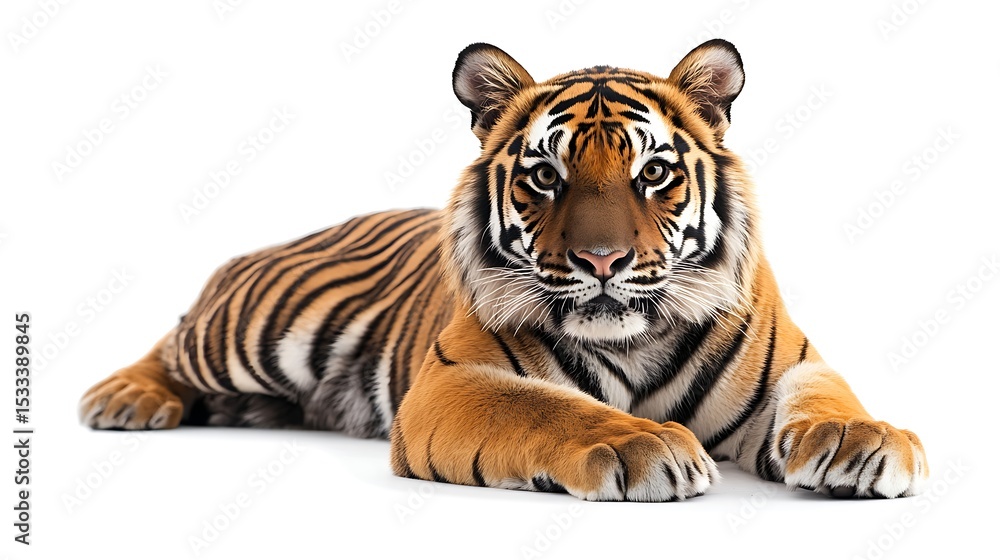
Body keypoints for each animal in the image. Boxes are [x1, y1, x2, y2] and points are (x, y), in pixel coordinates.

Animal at [79, 39, 928, 501]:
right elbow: (549, 408)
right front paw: (642, 446)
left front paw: (863, 440)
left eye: (653, 173)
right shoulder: (452, 383)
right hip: (251, 329)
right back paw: (124, 397)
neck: (633, 339)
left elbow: (826, 395)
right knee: (174, 337)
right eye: (546, 176)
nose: (602, 260)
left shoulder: (794, 363)